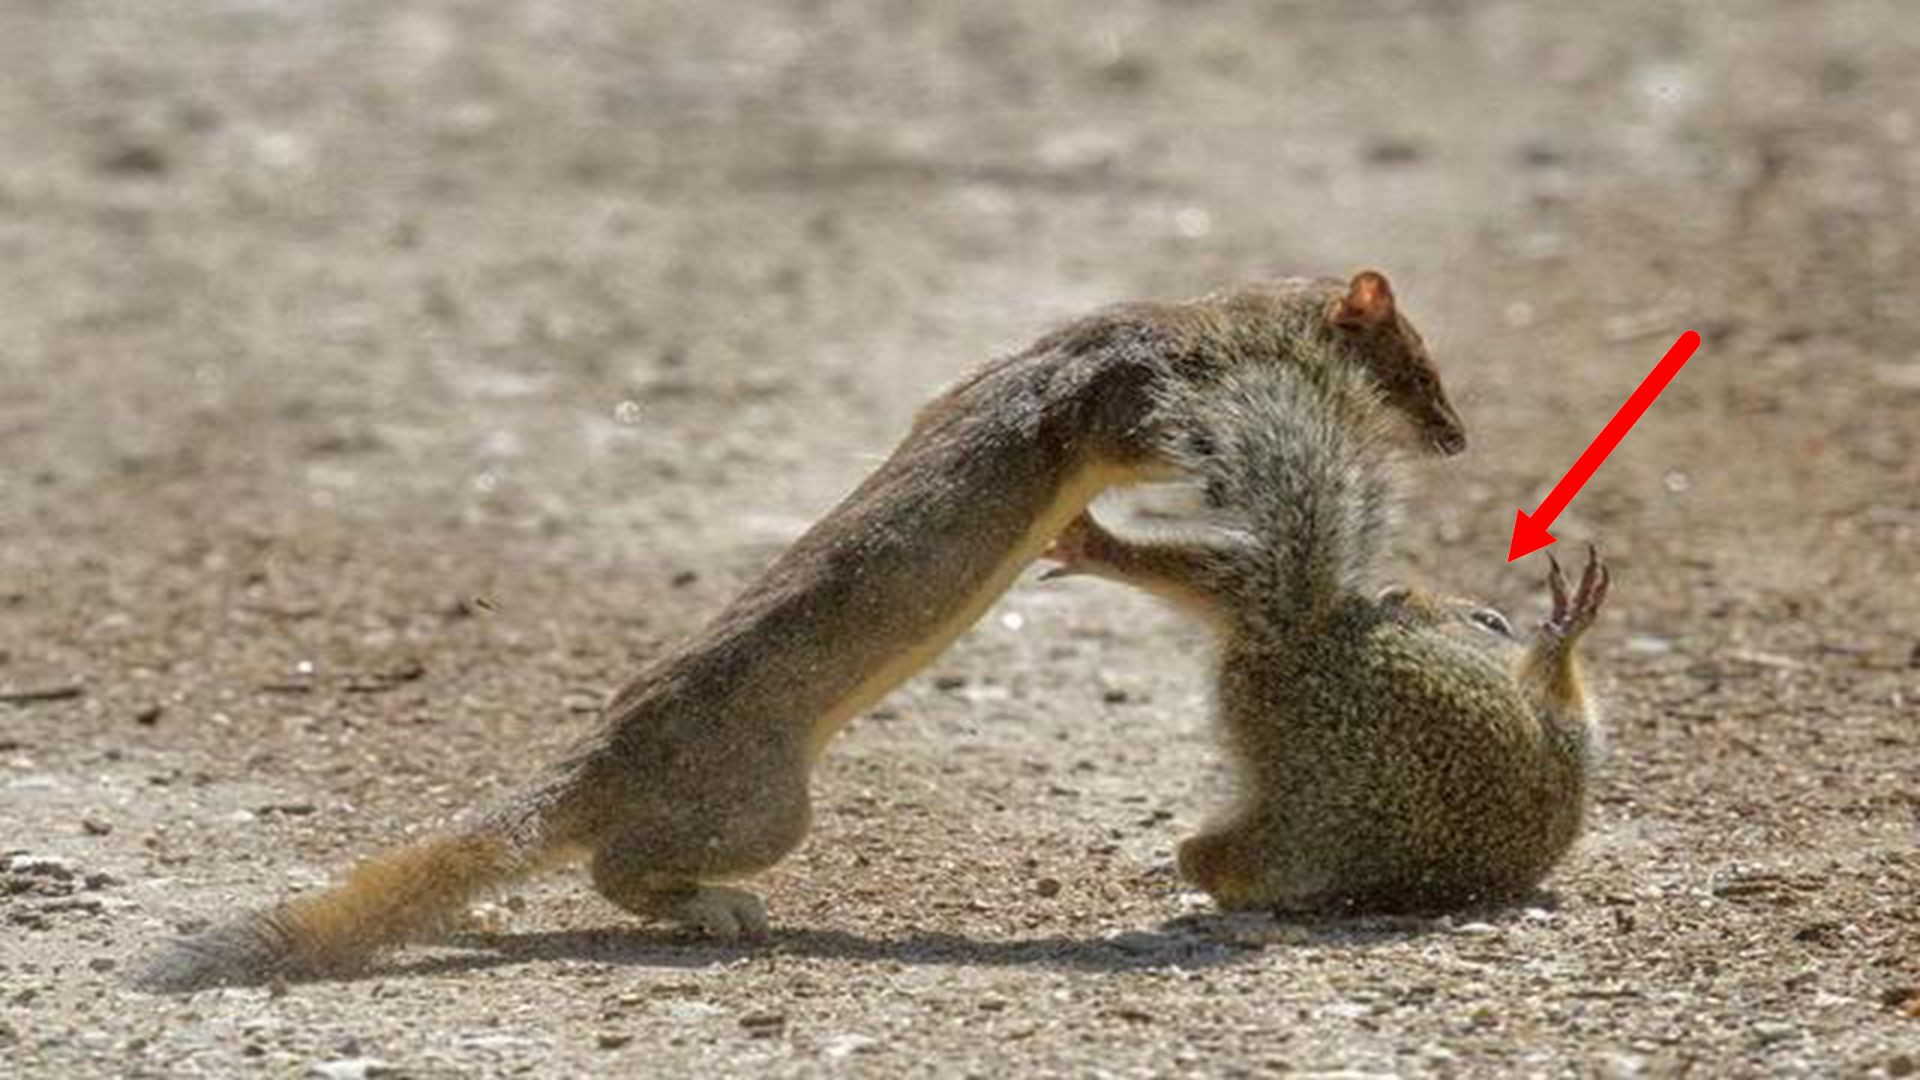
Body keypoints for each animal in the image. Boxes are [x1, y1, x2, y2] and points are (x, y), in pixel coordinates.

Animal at [135, 267, 1466, 983]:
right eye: (1422, 366)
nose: (1459, 438)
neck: (1168, 320)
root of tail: (601, 751)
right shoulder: (1119, 385)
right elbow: (1128, 429)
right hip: (767, 801)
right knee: (622, 863)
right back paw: (719, 909)